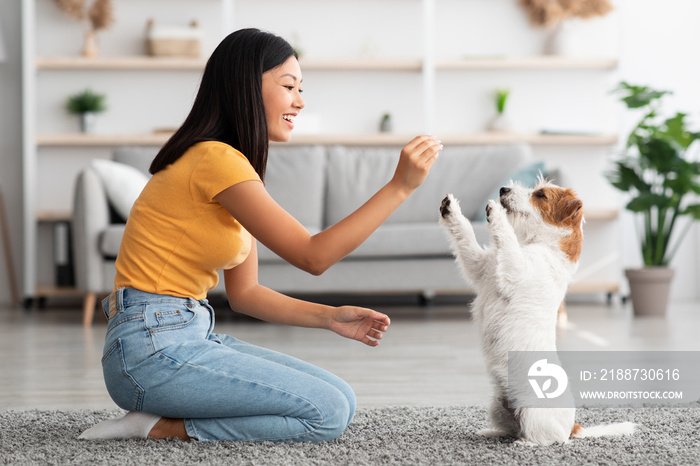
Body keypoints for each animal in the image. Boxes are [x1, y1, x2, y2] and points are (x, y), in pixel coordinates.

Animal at [438, 177, 636, 444]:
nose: (503, 189)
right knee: (512, 428)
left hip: (533, 413)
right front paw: (451, 209)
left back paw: (524, 444)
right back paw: (492, 432)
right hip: (497, 405)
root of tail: (573, 427)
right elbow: (466, 239)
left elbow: (507, 239)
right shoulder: (480, 267)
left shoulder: (514, 269)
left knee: (546, 438)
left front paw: (496, 213)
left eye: (540, 195)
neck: (542, 245)